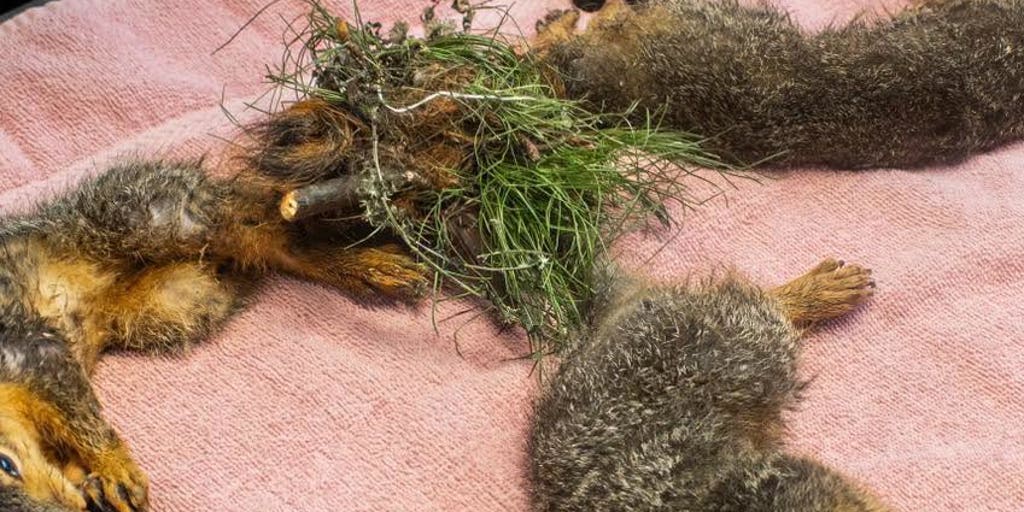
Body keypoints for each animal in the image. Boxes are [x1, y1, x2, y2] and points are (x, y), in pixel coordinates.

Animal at [0, 154, 427, 511]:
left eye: (5, 463)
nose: (70, 507)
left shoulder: (30, 348)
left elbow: (80, 414)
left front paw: (114, 467)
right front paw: (92, 484)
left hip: (148, 215)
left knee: (264, 222)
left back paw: (362, 254)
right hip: (177, 299)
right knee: (265, 250)